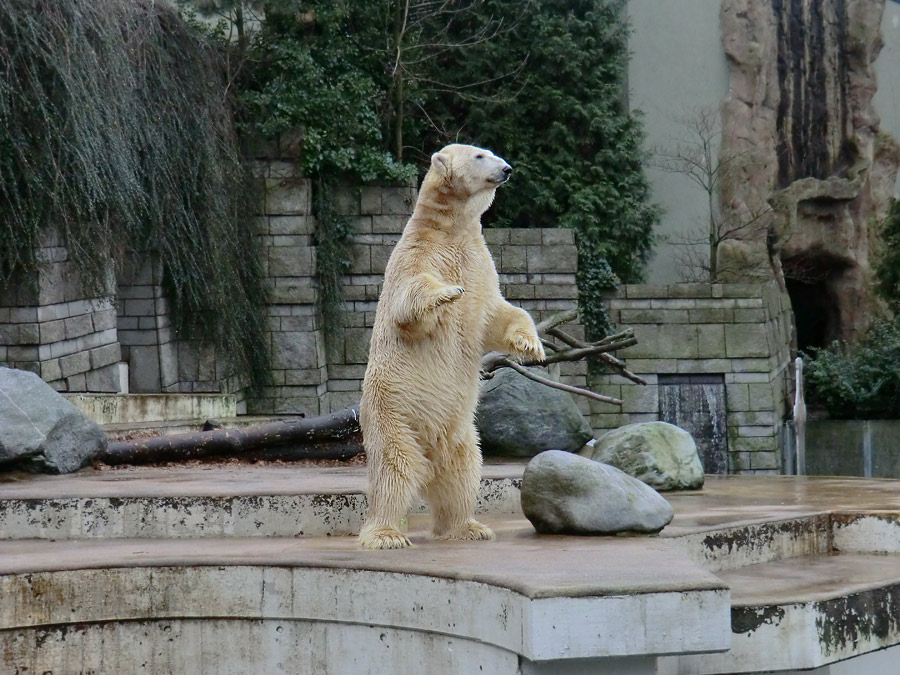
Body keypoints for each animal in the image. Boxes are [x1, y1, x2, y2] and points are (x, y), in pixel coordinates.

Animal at [356, 143, 540, 548]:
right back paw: (386, 534)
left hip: (460, 432)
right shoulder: (417, 254)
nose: (507, 169)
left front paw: (530, 345)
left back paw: (467, 527)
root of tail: (429, 447)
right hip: (393, 414)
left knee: (462, 473)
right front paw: (445, 293)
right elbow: (409, 302)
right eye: (479, 156)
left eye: (491, 152)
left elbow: (497, 314)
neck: (451, 228)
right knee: (394, 470)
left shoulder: (479, 263)